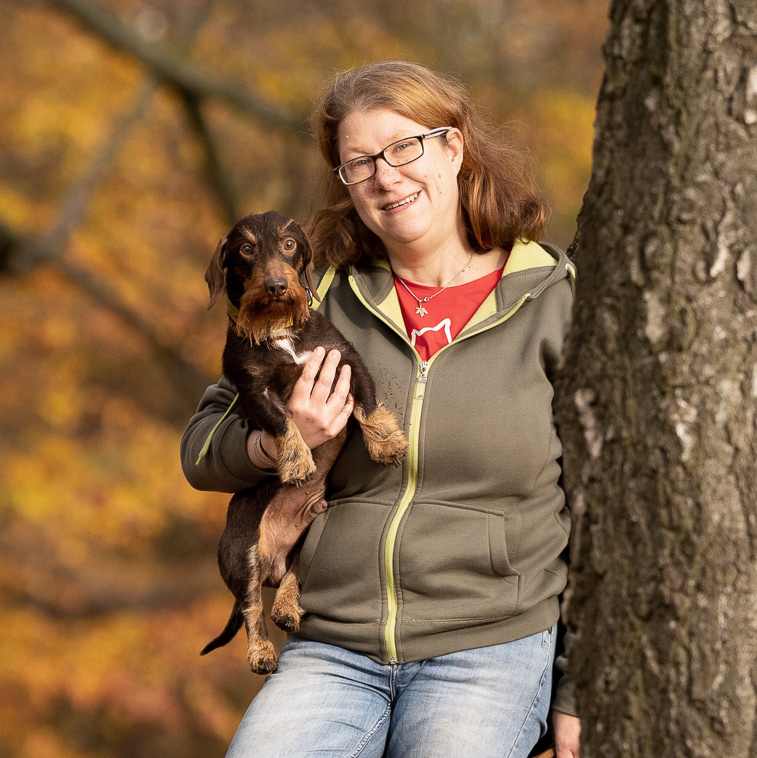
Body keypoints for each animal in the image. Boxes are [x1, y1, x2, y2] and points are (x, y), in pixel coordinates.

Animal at [198, 211, 404, 672]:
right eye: (246, 249)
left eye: (290, 244)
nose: (276, 285)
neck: (278, 332)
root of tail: (271, 562)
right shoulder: (254, 390)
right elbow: (280, 421)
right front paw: (296, 461)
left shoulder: (346, 360)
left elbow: (368, 404)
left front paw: (385, 443)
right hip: (240, 554)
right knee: (252, 607)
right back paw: (261, 651)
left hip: (312, 530)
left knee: (293, 576)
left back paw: (289, 607)